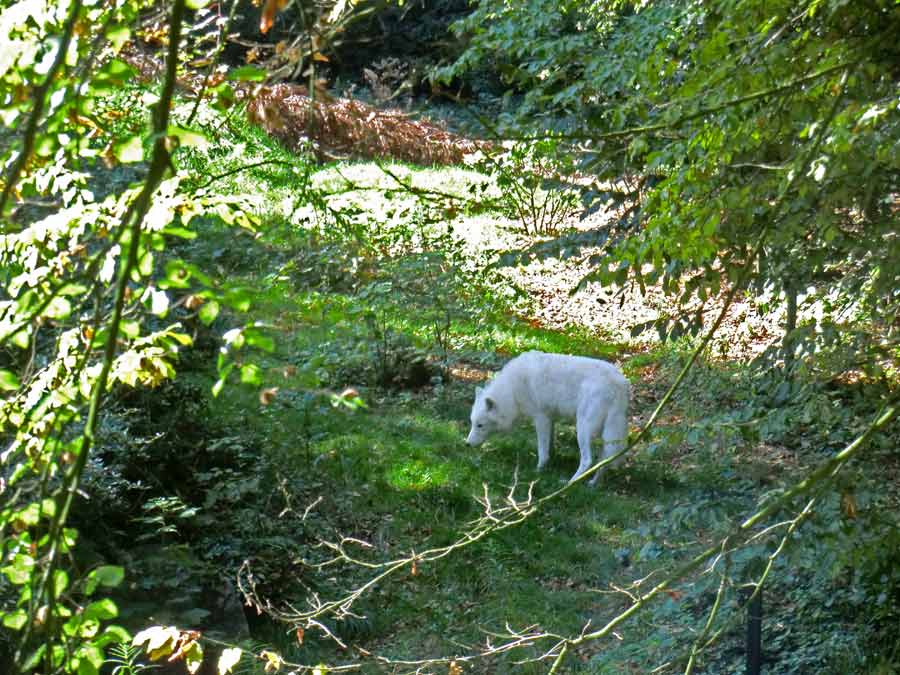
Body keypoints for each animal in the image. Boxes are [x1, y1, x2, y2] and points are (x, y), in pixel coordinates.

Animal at [468, 352, 628, 484]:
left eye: (480, 425)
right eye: (472, 423)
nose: (467, 444)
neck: (512, 390)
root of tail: (619, 384)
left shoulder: (541, 418)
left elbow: (542, 450)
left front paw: (538, 470)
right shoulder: (550, 419)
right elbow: (549, 445)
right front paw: (550, 463)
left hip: (582, 429)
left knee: (587, 460)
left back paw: (570, 483)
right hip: (606, 434)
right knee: (605, 458)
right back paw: (593, 483)